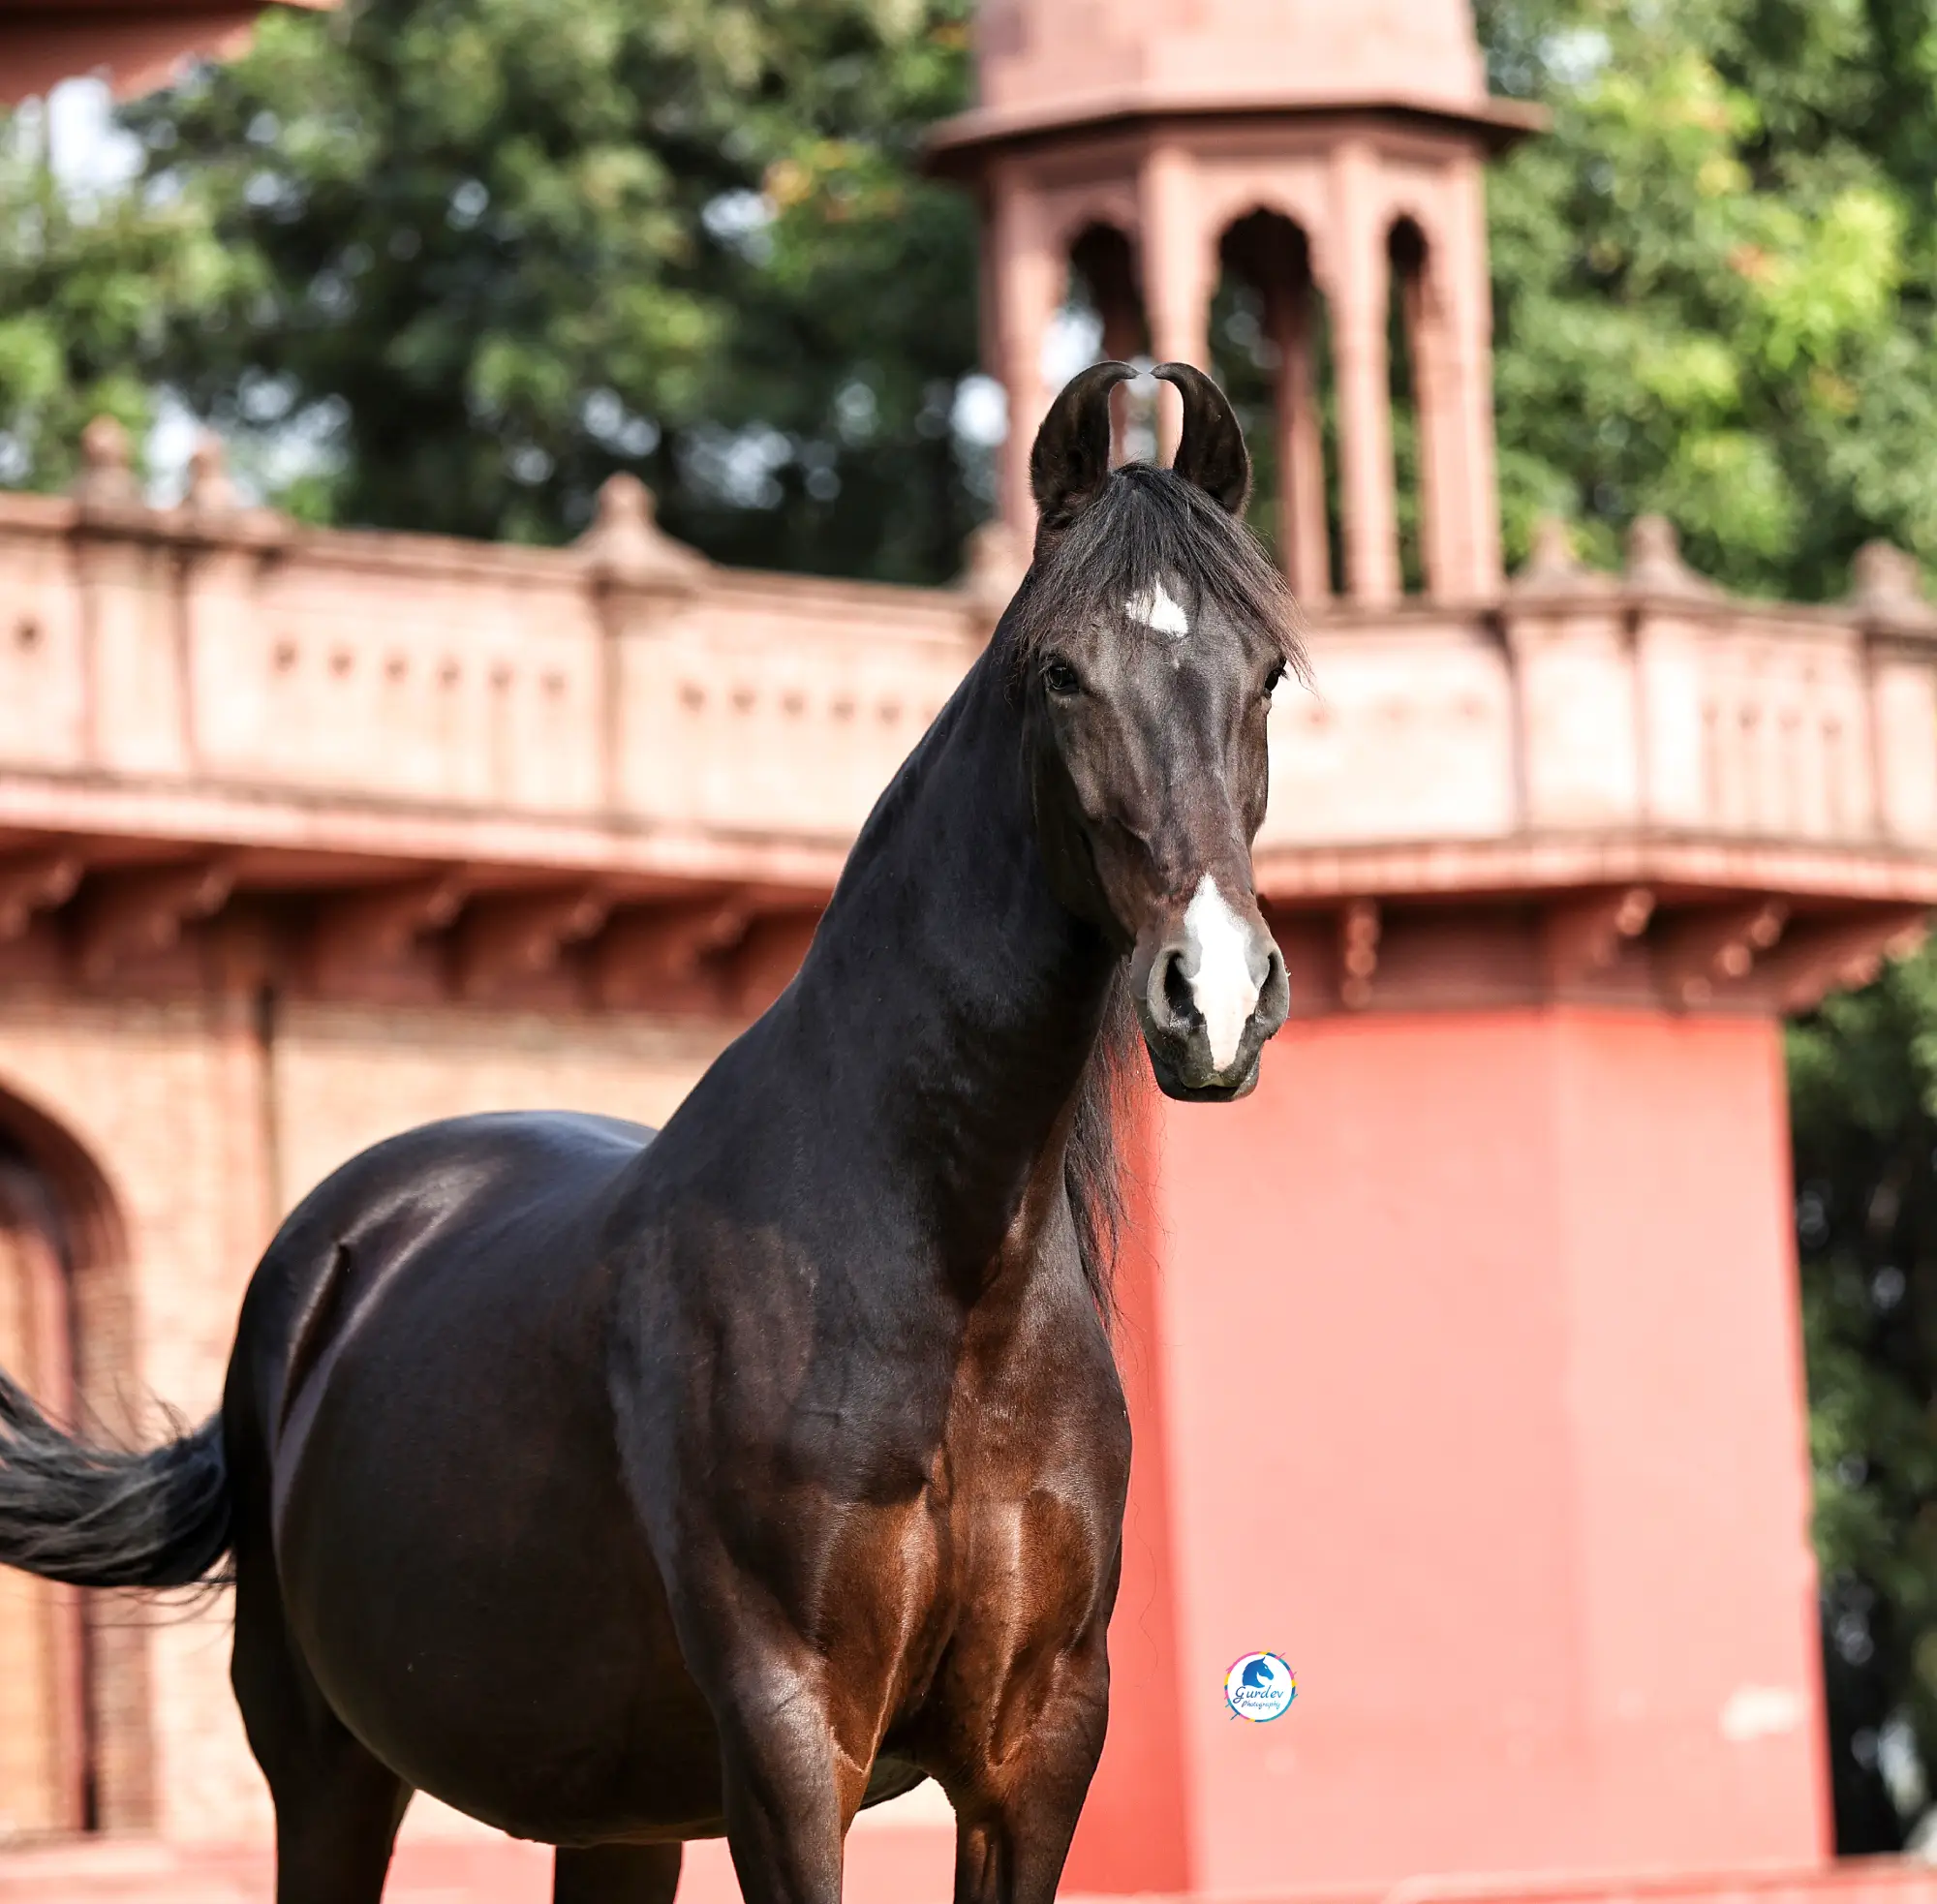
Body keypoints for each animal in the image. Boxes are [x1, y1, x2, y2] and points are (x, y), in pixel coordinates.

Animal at [0, 360, 1297, 1904]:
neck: (946, 1291)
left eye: (1266, 673)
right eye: (1060, 672)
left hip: (616, 1815)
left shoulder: (1037, 1752)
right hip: (325, 1768)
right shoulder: (790, 1746)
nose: (1212, 994)